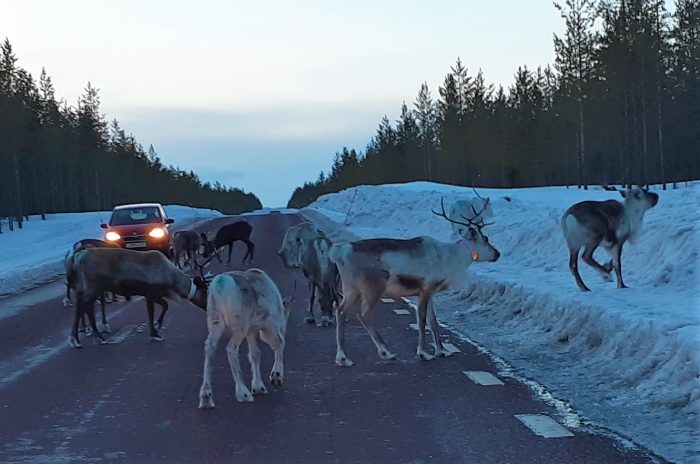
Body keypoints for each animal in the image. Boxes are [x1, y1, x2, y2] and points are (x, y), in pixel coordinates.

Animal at [69, 247, 209, 348]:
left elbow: (160, 308)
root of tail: (79, 256)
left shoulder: (150, 294)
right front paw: (156, 331)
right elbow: (159, 309)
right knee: (85, 305)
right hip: (95, 286)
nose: (208, 307)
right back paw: (93, 338)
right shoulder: (152, 293)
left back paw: (80, 340)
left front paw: (156, 329)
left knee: (83, 304)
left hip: (93, 287)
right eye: (205, 292)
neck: (172, 279)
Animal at [198, 268, 291, 408]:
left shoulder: (251, 331)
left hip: (215, 321)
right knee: (231, 349)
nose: (283, 328)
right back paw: (243, 393)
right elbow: (280, 343)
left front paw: (258, 387)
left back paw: (206, 396)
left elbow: (255, 354)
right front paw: (276, 376)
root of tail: (220, 285)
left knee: (209, 347)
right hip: (240, 326)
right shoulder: (269, 325)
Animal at [328, 198, 500, 367]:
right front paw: (423, 353)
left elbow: (433, 321)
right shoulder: (425, 289)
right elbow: (422, 319)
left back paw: (342, 358)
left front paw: (441, 351)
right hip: (372, 288)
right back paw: (385, 352)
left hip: (351, 288)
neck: (451, 257)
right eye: (486, 239)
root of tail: (339, 252)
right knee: (362, 314)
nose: (497, 254)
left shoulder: (430, 292)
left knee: (341, 311)